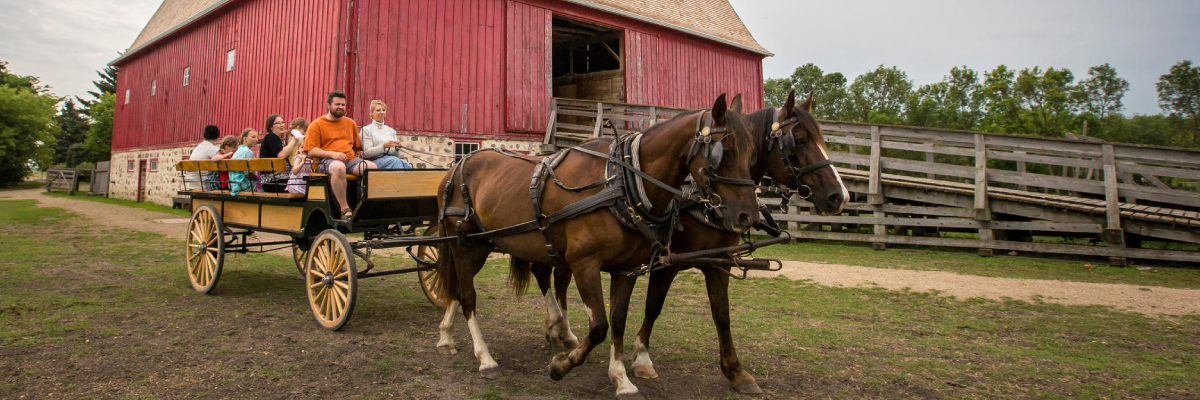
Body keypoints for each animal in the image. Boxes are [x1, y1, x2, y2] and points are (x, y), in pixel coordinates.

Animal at [431, 94, 762, 398]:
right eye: (724, 152)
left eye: (752, 155)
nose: (748, 216)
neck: (620, 183)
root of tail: (454, 169)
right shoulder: (585, 265)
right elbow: (599, 326)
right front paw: (561, 365)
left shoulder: (626, 269)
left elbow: (617, 320)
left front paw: (621, 378)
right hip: (467, 246)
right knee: (468, 296)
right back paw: (485, 358)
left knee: (460, 289)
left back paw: (446, 336)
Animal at [521, 90, 849, 394]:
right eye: (800, 141)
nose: (840, 196)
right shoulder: (666, 263)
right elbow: (653, 307)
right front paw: (642, 358)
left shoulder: (718, 262)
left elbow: (722, 315)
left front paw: (736, 372)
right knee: (549, 275)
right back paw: (561, 331)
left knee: (554, 276)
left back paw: (559, 332)